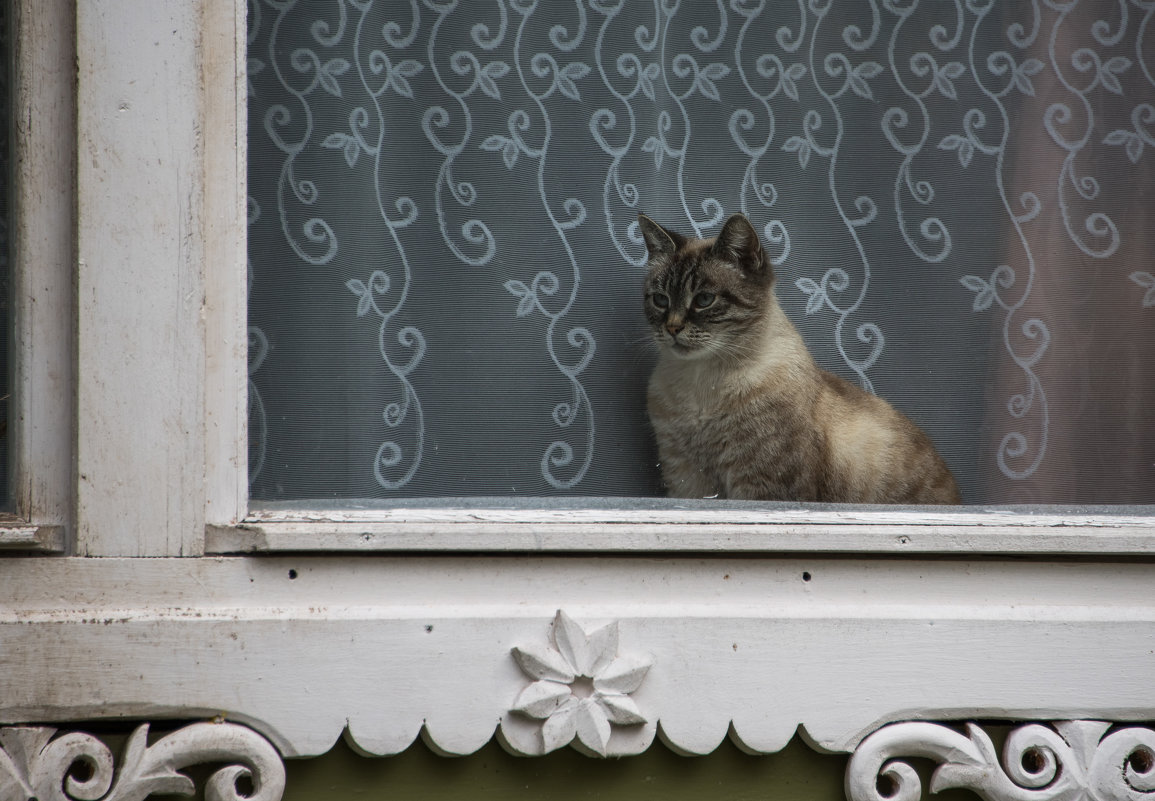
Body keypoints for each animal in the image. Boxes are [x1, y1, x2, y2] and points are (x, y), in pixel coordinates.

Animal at [637, 212, 960, 503]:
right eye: (661, 300)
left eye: (704, 300)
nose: (672, 328)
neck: (701, 382)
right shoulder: (686, 479)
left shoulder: (761, 486)